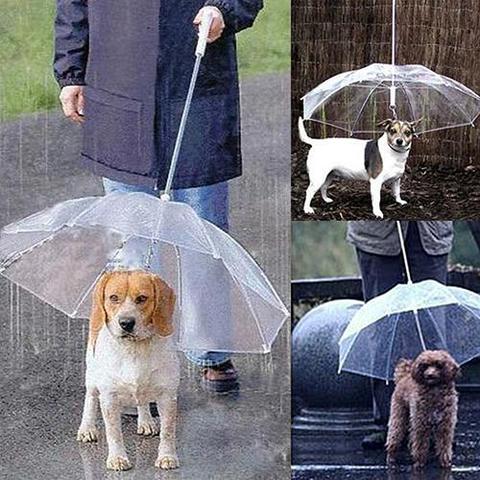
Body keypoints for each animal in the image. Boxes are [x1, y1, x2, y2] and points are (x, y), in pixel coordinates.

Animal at [77, 270, 180, 472]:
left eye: (142, 298)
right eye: (113, 298)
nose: (126, 323)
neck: (134, 348)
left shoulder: (167, 396)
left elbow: (168, 431)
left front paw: (167, 457)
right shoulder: (109, 398)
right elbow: (114, 433)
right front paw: (117, 458)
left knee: (142, 401)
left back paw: (146, 420)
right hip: (92, 373)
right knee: (90, 398)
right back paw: (87, 428)